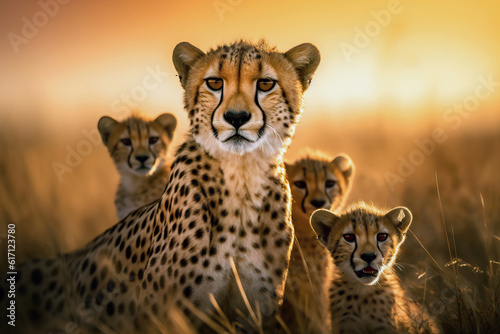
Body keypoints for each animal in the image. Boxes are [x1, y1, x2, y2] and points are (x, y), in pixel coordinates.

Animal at [0, 40, 320, 332]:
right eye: (215, 82)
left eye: (266, 83)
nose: (237, 117)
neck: (241, 178)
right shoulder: (166, 316)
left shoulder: (254, 312)